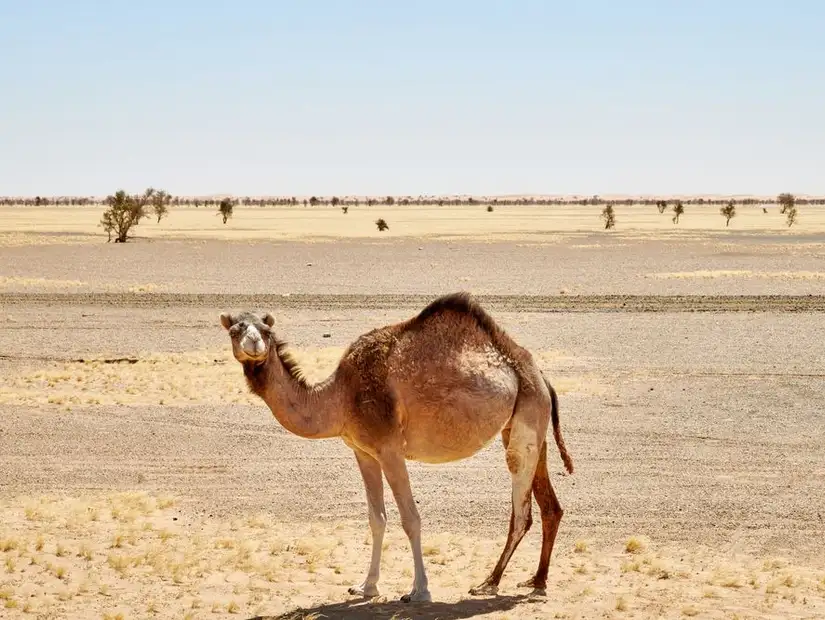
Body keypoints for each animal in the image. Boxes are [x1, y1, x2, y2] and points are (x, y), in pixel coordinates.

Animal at [219, 294, 572, 604]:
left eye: (266, 331)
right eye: (234, 329)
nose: (254, 345)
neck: (340, 397)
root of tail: (542, 378)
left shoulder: (390, 449)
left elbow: (410, 518)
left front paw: (419, 591)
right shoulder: (363, 451)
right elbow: (377, 518)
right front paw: (366, 587)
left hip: (527, 415)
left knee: (522, 510)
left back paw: (489, 582)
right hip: (526, 425)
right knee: (550, 506)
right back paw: (537, 581)